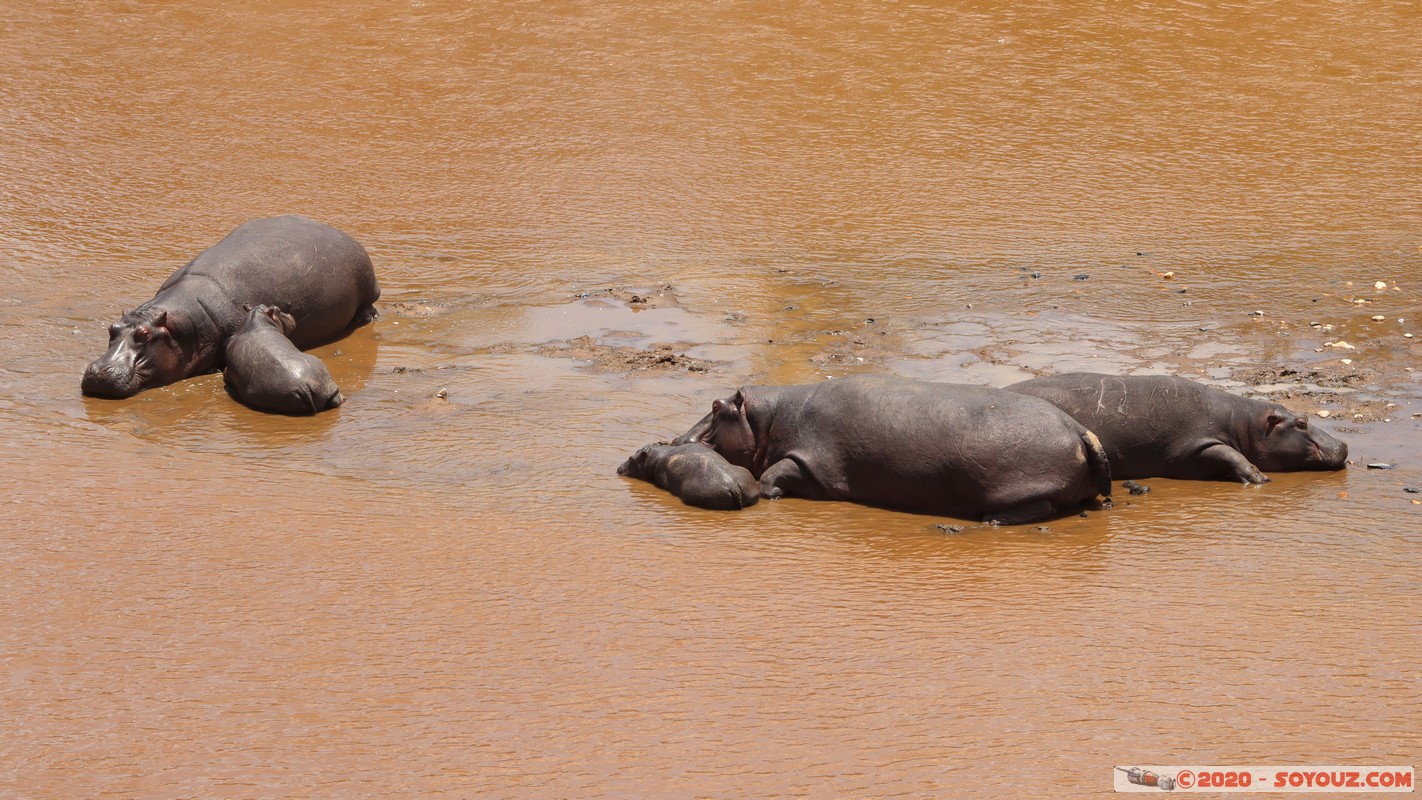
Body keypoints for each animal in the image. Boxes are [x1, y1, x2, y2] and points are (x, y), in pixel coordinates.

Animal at [82, 215, 379, 398]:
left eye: (144, 335)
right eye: (112, 328)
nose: (99, 372)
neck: (181, 325)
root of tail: (338, 230)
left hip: (369, 285)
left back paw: (368, 318)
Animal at [675, 375, 1111, 524]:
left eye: (716, 406)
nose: (677, 440)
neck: (769, 417)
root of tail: (1080, 430)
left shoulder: (811, 459)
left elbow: (773, 473)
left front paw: (773, 493)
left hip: (1022, 487)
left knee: (1039, 506)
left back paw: (993, 521)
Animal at [1005, 373, 1348, 483]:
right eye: (1301, 422)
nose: (1344, 445)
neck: (1245, 422)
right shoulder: (1196, 443)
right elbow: (1230, 454)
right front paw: (1259, 478)